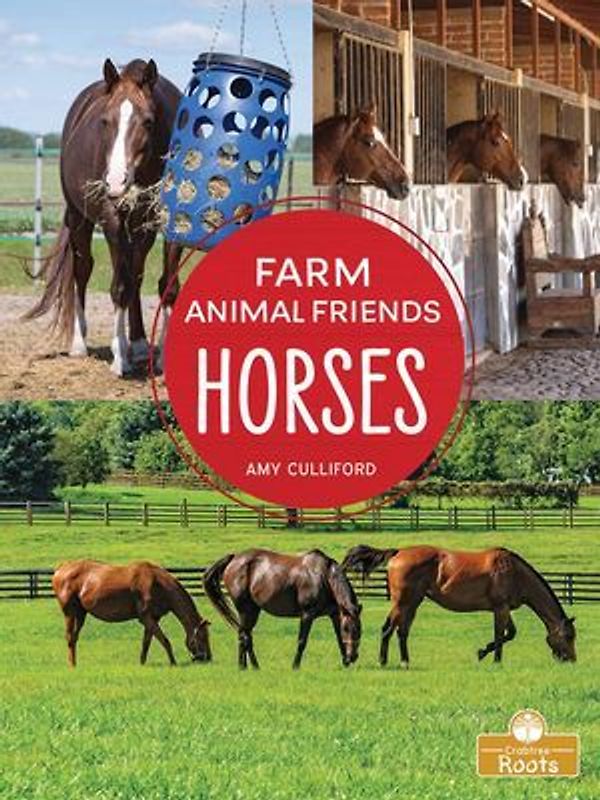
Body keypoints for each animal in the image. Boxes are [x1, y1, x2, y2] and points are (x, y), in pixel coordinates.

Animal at [25, 58, 183, 376]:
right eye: (105, 121)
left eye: (148, 121)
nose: (115, 182)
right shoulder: (112, 222)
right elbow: (119, 287)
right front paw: (119, 358)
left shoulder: (169, 221)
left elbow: (166, 286)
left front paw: (158, 357)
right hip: (79, 219)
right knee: (83, 271)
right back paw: (80, 344)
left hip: (140, 230)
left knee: (136, 275)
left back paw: (138, 344)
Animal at [52, 560, 211, 667]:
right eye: (202, 637)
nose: (208, 658)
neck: (158, 584)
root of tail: (61, 569)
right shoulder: (146, 617)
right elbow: (165, 641)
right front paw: (173, 663)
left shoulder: (152, 619)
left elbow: (146, 643)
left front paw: (142, 663)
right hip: (69, 613)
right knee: (69, 637)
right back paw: (72, 665)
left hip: (81, 614)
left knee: (74, 638)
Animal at [203, 548, 362, 669]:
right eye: (347, 628)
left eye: (359, 629)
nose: (353, 657)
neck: (324, 576)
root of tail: (234, 558)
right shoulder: (307, 615)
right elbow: (302, 641)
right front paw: (295, 666)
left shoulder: (335, 614)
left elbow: (339, 639)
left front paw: (345, 663)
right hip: (246, 610)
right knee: (245, 636)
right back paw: (252, 666)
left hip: (252, 611)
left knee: (244, 635)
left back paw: (245, 666)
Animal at [341, 545, 576, 668]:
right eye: (569, 636)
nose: (571, 660)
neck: (514, 572)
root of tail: (398, 552)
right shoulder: (500, 608)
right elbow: (501, 635)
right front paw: (494, 660)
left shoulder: (504, 609)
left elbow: (509, 634)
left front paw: (483, 652)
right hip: (402, 603)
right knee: (388, 629)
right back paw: (384, 661)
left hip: (412, 603)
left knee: (402, 632)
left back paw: (405, 661)